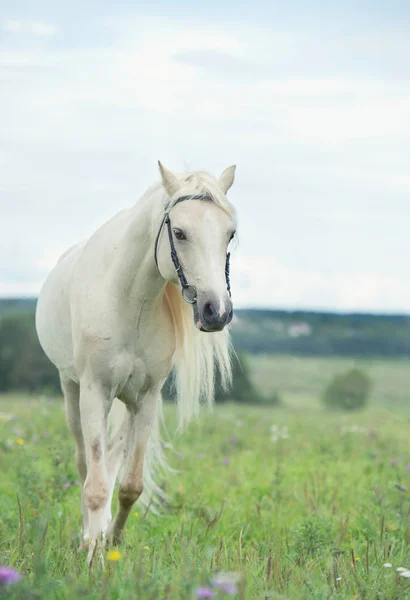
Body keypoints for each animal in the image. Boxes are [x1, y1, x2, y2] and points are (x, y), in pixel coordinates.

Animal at [36, 161, 239, 564]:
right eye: (179, 232)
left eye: (230, 234)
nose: (217, 312)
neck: (130, 299)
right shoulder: (95, 393)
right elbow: (95, 484)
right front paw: (93, 557)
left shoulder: (146, 398)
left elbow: (130, 484)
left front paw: (111, 541)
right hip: (71, 390)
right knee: (86, 463)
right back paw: (87, 535)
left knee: (113, 459)